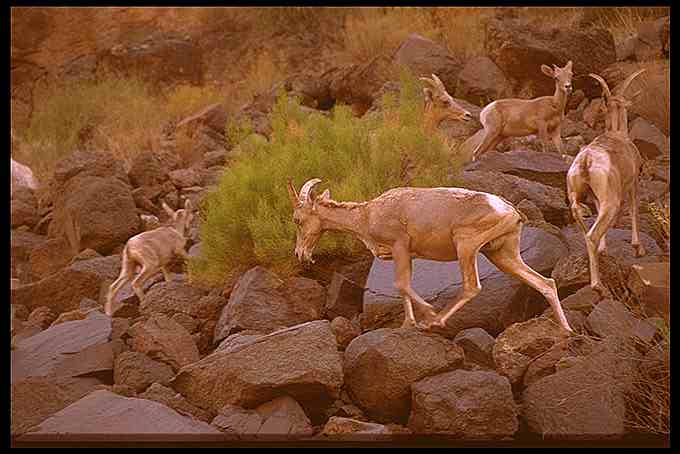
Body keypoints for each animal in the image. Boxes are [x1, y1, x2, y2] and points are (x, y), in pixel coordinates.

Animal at [290, 178, 572, 334]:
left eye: (297, 219)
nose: (300, 254)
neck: (367, 214)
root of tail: (508, 211)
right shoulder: (407, 256)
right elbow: (403, 286)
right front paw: (409, 324)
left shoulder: (400, 246)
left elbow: (401, 284)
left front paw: (427, 314)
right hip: (503, 255)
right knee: (545, 283)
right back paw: (566, 331)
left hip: (466, 247)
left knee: (472, 287)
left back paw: (436, 322)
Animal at [564, 67, 648, 294]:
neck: (617, 134)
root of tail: (586, 160)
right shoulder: (633, 184)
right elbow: (634, 210)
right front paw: (638, 248)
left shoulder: (597, 198)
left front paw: (604, 249)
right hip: (612, 202)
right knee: (592, 235)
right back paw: (597, 286)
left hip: (577, 197)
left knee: (586, 231)